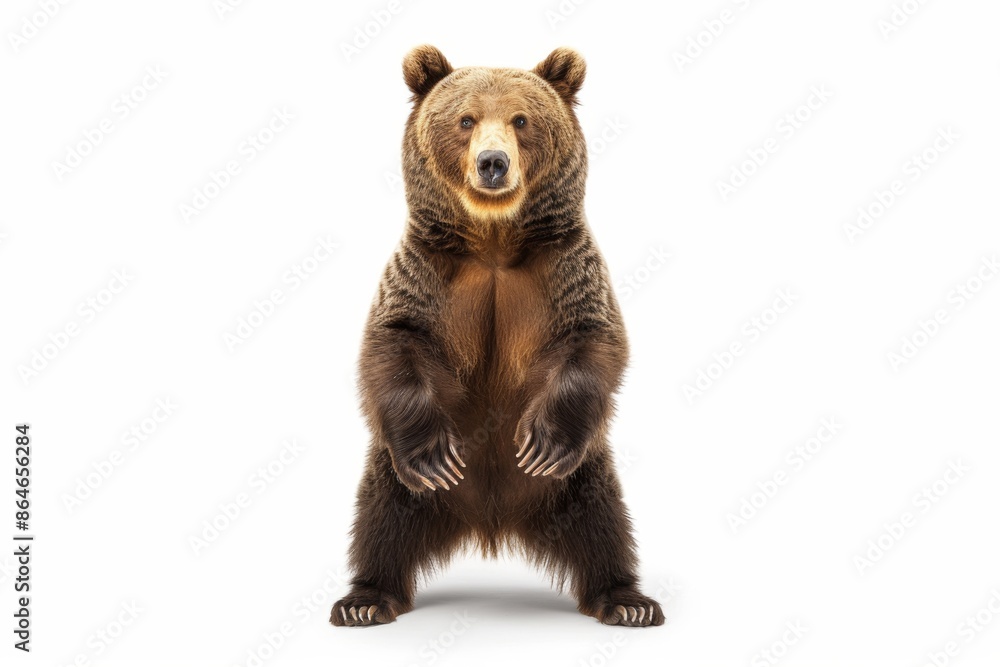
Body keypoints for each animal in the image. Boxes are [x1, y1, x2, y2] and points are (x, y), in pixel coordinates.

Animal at [330, 45, 663, 628]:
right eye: (466, 119)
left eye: (521, 120)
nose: (492, 162)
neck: (493, 239)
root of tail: (492, 524)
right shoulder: (425, 273)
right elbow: (393, 343)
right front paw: (435, 456)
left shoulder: (565, 269)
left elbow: (593, 341)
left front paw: (543, 442)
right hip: (392, 473)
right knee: (380, 521)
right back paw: (365, 599)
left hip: (583, 476)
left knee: (606, 525)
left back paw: (627, 600)